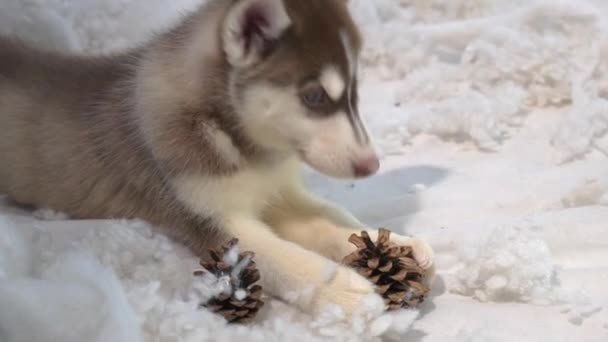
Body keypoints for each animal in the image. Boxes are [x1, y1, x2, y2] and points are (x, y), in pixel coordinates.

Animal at [0, 0, 432, 316]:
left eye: (356, 94)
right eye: (314, 96)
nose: (371, 166)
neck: (246, 147)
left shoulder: (278, 190)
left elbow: (331, 216)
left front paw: (396, 247)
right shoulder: (209, 217)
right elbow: (284, 258)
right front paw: (345, 291)